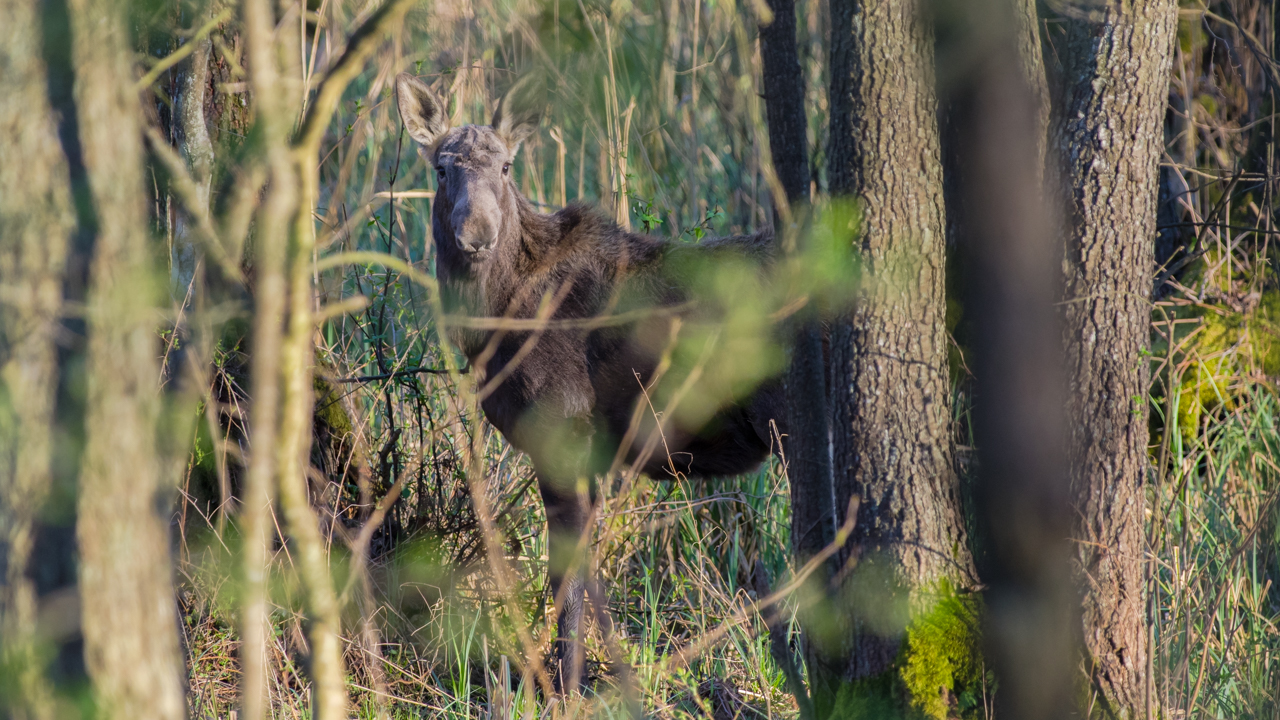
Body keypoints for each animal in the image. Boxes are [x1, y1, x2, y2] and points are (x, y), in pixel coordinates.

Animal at [394, 73, 783, 691]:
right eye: (441, 168)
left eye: (506, 167)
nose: (476, 235)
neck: (493, 320)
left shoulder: (561, 431)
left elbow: (567, 582)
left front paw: (566, 684)